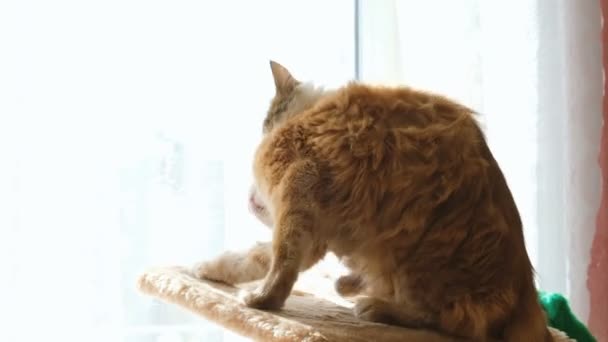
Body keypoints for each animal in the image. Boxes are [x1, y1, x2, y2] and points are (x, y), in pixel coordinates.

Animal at [192, 62, 552, 342]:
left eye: (265, 124)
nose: (249, 197)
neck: (311, 110)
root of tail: (526, 294)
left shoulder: (298, 190)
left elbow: (279, 262)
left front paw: (261, 300)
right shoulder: (310, 232)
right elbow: (251, 257)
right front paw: (207, 269)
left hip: (416, 251)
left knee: (442, 320)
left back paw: (374, 306)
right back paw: (353, 284)